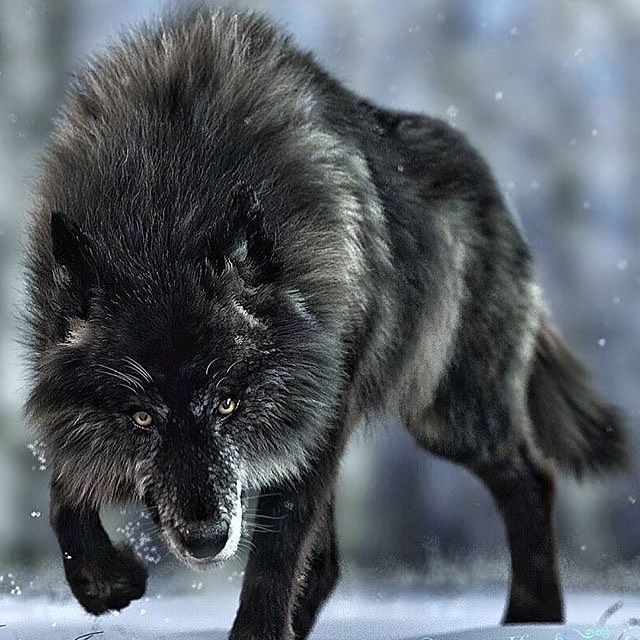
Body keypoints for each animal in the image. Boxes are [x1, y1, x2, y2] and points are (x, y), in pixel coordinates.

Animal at [23, 7, 628, 639]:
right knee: (332, 562)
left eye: (227, 405)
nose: (207, 540)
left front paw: (255, 633)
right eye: (141, 417)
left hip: (447, 415)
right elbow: (66, 487)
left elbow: (277, 552)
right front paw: (105, 581)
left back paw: (533, 621)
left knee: (532, 480)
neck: (167, 201)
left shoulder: (318, 413)